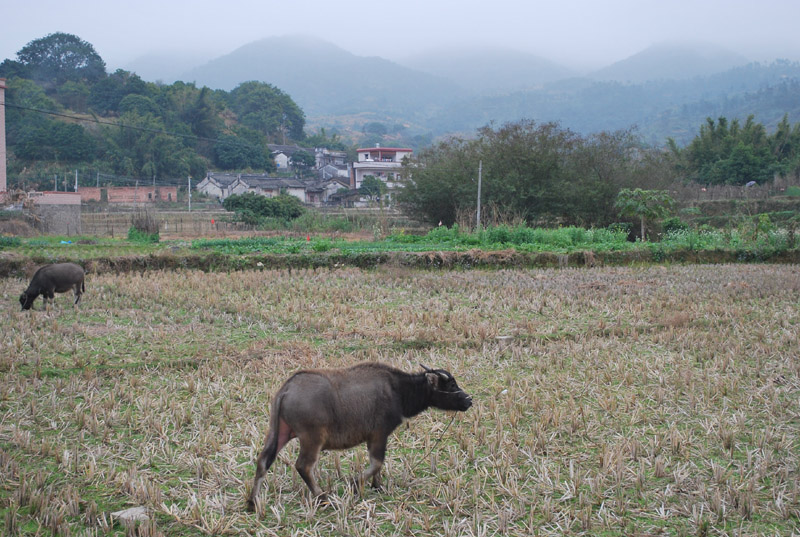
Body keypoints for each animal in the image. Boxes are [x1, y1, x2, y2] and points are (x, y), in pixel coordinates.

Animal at [247, 360, 472, 506]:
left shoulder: (376, 438)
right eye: (451, 384)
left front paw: (377, 485)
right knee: (303, 466)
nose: (469, 400)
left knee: (263, 461)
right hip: (312, 439)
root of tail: (286, 390)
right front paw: (356, 484)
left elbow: (378, 465)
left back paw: (252, 501)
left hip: (279, 432)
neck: (397, 390)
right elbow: (377, 463)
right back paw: (323, 497)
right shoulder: (379, 434)